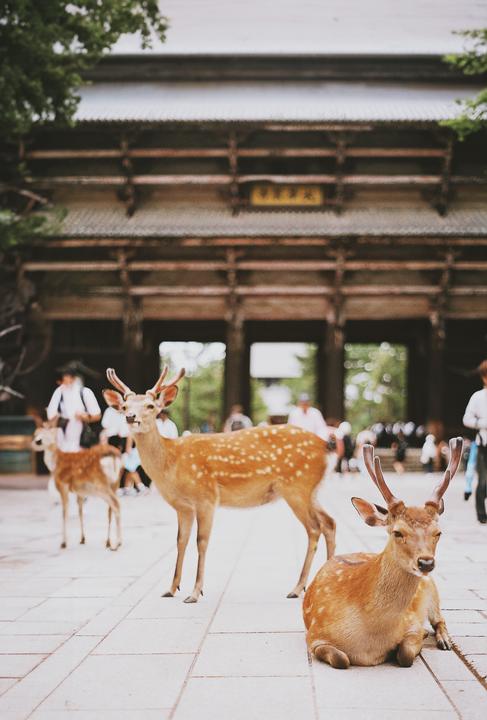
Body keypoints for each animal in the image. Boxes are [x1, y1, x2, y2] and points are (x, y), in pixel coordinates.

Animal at [103, 366, 336, 603]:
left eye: (151, 406)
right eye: (124, 406)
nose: (131, 417)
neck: (171, 464)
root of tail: (324, 445)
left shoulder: (206, 496)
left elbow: (201, 540)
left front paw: (195, 592)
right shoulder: (183, 506)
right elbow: (180, 540)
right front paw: (171, 588)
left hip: (297, 486)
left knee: (314, 527)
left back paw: (297, 588)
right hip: (310, 491)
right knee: (329, 522)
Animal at [303, 437, 463, 669]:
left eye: (438, 532)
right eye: (398, 532)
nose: (426, 563)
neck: (369, 642)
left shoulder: (411, 623)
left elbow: (406, 654)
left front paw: (419, 639)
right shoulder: (314, 635)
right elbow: (341, 659)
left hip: (432, 588)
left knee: (440, 619)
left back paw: (444, 640)